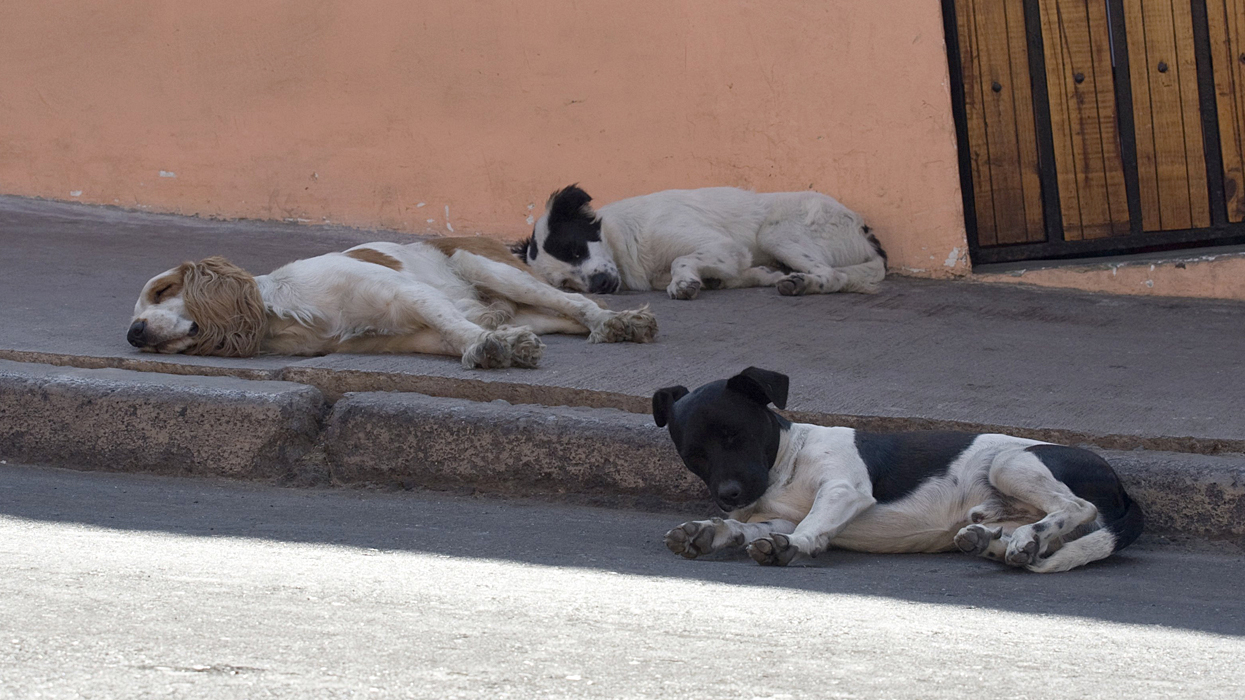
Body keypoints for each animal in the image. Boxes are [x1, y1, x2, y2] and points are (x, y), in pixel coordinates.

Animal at [510, 184, 891, 298]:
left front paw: (684, 282)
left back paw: (803, 283)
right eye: (566, 284)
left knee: (833, 275)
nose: (600, 285)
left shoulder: (725, 247)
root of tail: (863, 229)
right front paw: (761, 275)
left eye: (577, 250)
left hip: (776, 231)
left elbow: (683, 260)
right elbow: (736, 274)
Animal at [652, 368, 1145, 570]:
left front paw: (794, 547)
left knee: (1075, 508)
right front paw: (708, 532)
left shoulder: (843, 490)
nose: (729, 496)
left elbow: (809, 526)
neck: (786, 460)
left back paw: (1025, 538)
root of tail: (1121, 488)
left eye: (735, 436)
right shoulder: (774, 517)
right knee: (1039, 537)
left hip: (1013, 462)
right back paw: (996, 544)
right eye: (695, 454)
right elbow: (749, 529)